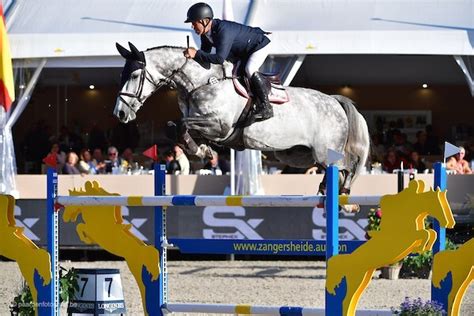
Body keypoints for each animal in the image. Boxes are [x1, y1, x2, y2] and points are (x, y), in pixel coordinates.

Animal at [114, 42, 370, 193]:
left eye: (134, 75)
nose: (120, 113)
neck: (200, 82)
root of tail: (334, 101)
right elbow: (175, 127)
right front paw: (204, 151)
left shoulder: (220, 127)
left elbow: (182, 125)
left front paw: (201, 151)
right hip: (297, 155)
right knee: (337, 169)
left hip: (325, 153)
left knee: (348, 168)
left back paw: (342, 195)